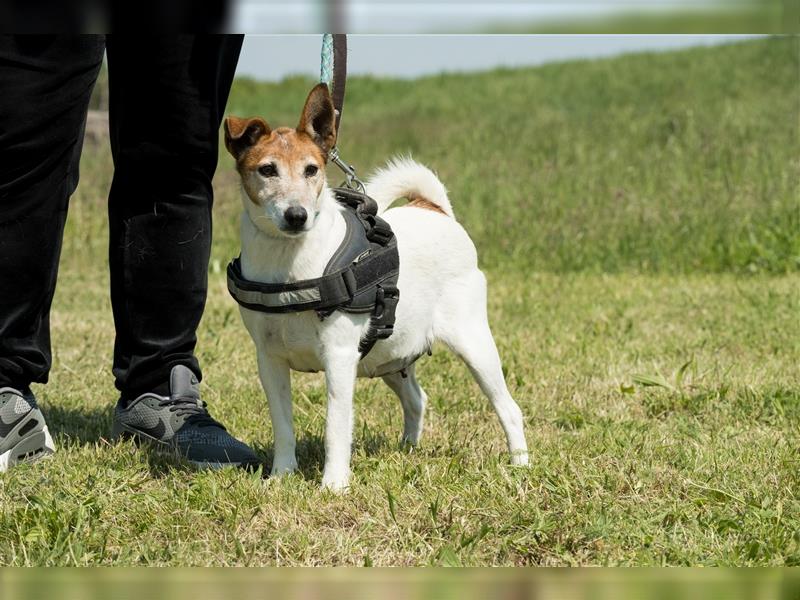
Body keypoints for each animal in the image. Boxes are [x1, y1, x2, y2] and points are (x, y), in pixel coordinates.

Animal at [222, 82, 528, 490]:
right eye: (267, 170)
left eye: (311, 170)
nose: (297, 216)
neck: (289, 264)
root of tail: (435, 209)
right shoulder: (269, 361)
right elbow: (283, 427)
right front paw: (281, 476)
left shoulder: (339, 358)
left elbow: (336, 428)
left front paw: (334, 485)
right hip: (389, 354)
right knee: (416, 398)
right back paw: (408, 450)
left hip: (474, 344)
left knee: (508, 408)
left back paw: (520, 464)